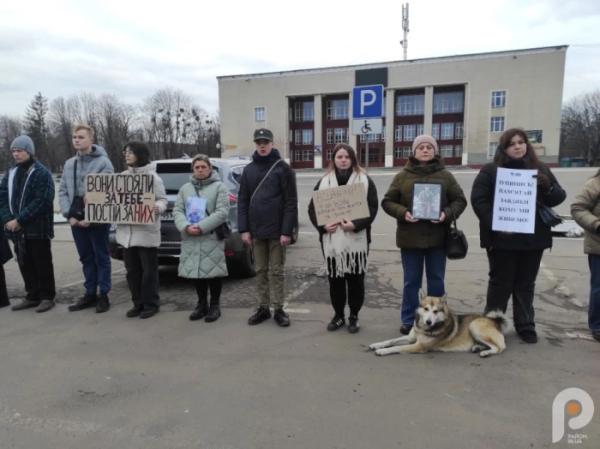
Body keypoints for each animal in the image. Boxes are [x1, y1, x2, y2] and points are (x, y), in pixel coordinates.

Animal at [370, 292, 506, 358]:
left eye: (436, 311)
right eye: (426, 309)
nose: (429, 322)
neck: (422, 328)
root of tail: (494, 320)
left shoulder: (419, 346)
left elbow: (397, 347)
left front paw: (382, 351)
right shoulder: (410, 338)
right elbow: (391, 341)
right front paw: (376, 345)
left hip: (474, 326)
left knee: (499, 347)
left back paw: (485, 353)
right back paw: (478, 347)